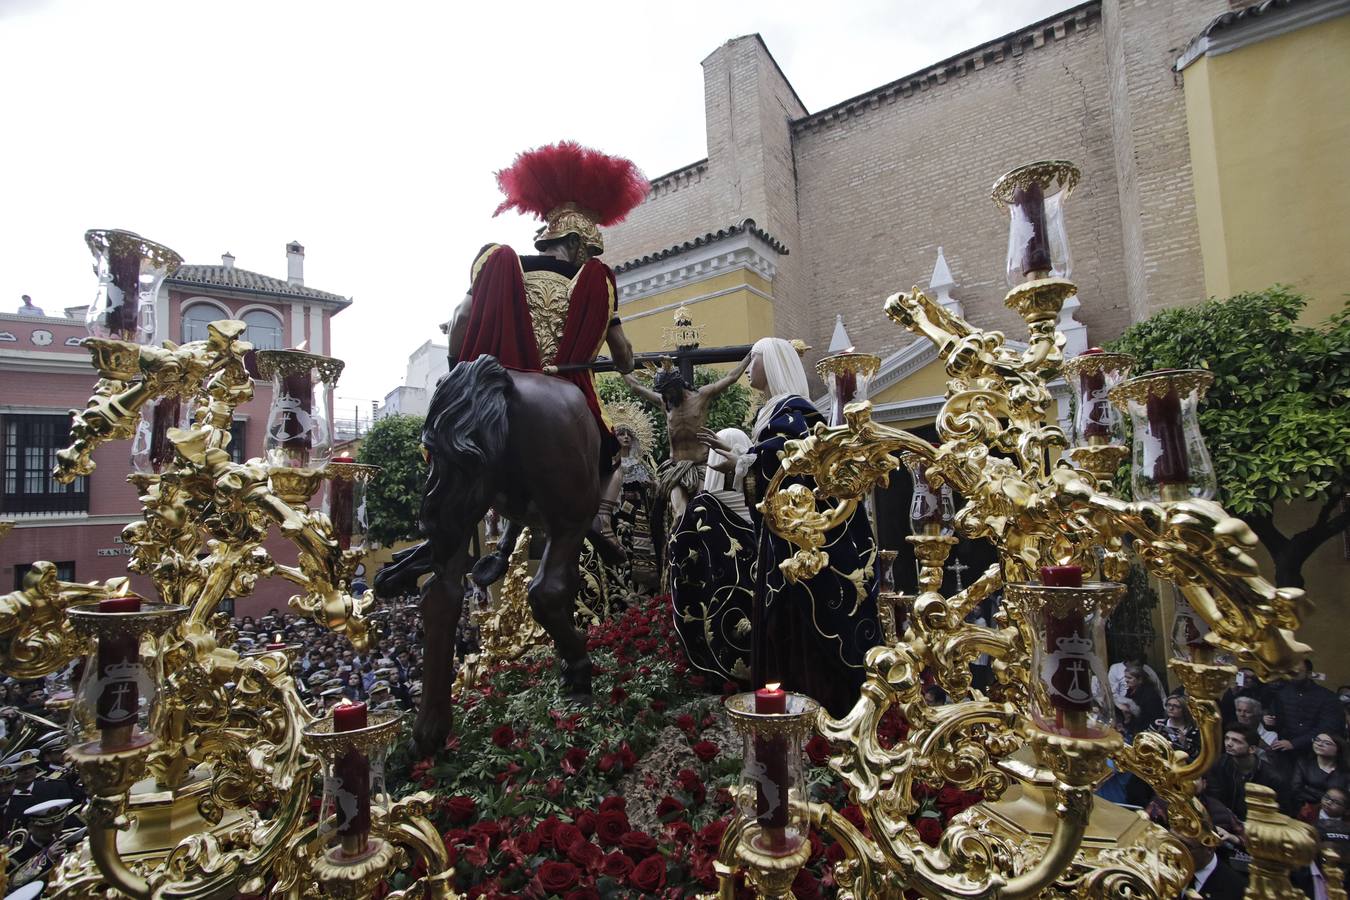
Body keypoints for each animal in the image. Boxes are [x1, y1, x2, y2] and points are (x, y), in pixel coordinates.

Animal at [372, 356, 599, 755]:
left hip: (464, 495)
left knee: (442, 592)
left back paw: (428, 732)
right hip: (570, 513)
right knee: (545, 590)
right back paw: (578, 669)